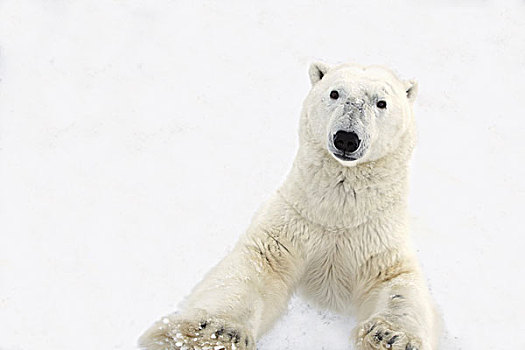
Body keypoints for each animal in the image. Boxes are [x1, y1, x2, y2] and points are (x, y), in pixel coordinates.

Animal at [138, 63, 438, 350]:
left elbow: (397, 282)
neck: (337, 215)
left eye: (381, 102)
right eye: (334, 93)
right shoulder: (292, 223)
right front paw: (211, 334)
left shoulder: (376, 236)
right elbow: (255, 269)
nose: (346, 138)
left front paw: (390, 337)